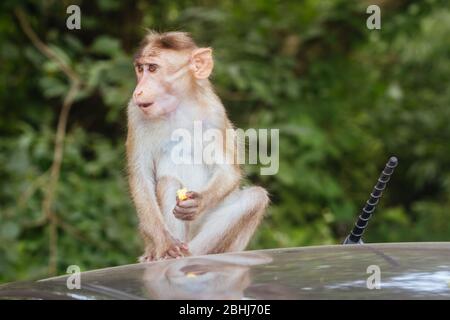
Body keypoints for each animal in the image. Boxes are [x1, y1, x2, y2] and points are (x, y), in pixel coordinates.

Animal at [125, 31, 268, 262]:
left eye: (153, 68)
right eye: (140, 69)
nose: (138, 91)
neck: (177, 107)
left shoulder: (214, 112)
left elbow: (227, 171)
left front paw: (198, 202)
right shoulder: (135, 114)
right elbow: (141, 176)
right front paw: (165, 243)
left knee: (256, 197)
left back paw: (195, 253)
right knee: (168, 182)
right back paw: (168, 253)